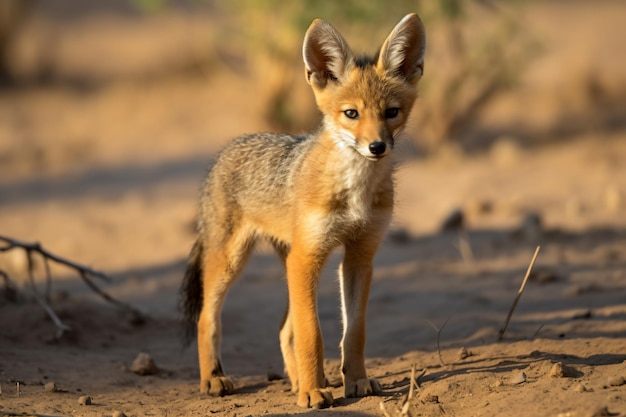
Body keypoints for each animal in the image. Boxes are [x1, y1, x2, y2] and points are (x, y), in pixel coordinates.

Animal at [180, 13, 424, 410]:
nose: (377, 147)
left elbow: (354, 332)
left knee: (284, 329)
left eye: (391, 113)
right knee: (207, 318)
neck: (354, 190)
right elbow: (313, 333)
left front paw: (356, 381)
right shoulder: (307, 257)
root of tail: (230, 146)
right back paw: (215, 379)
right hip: (233, 262)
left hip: (290, 263)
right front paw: (313, 393)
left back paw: (299, 381)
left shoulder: (360, 256)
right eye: (351, 114)